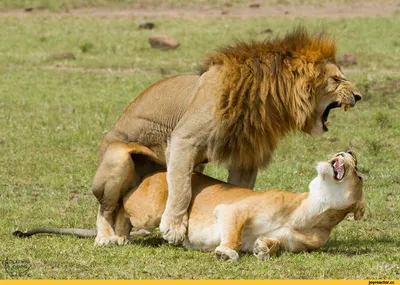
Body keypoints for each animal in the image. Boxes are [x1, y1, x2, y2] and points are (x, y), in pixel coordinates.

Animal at [14, 150, 364, 260]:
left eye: (358, 169)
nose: (347, 150)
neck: (310, 212)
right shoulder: (232, 210)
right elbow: (233, 233)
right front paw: (225, 252)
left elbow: (272, 244)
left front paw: (263, 248)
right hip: (151, 206)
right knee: (117, 205)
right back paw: (108, 236)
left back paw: (121, 237)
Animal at [92, 27, 360, 244]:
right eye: (337, 79)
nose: (358, 96)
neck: (265, 99)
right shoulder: (183, 140)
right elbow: (181, 188)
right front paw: (174, 228)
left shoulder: (247, 155)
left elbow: (237, 191)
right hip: (118, 158)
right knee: (106, 207)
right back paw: (106, 237)